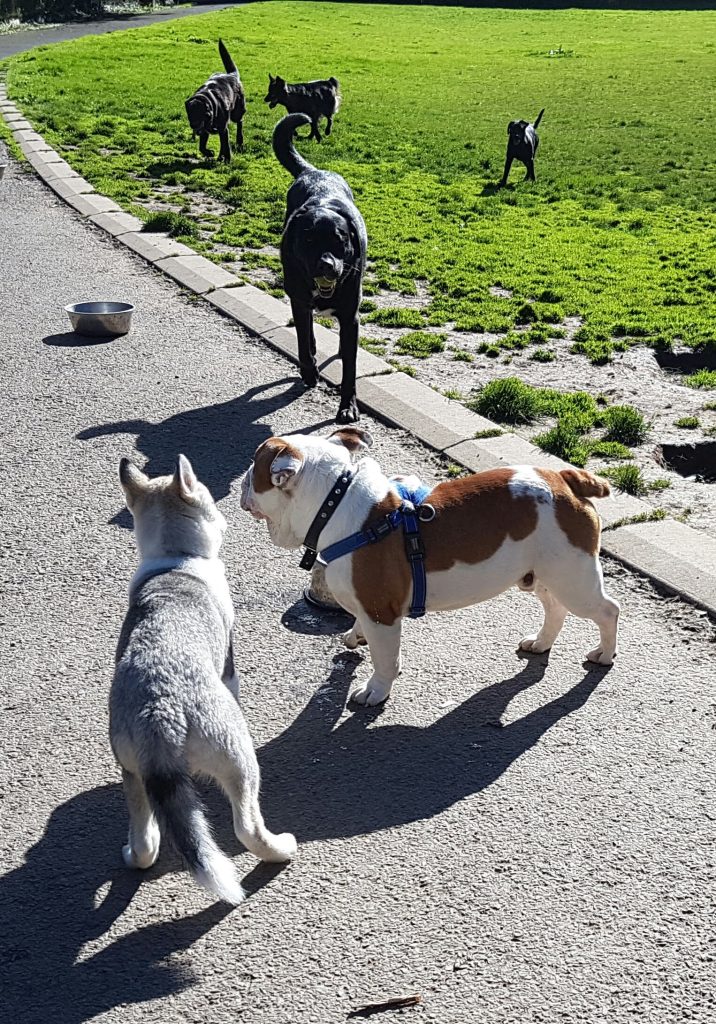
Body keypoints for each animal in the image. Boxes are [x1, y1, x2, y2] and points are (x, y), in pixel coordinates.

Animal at [110, 456, 295, 905]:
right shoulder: (229, 662)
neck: (176, 558)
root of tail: (161, 711)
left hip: (133, 771)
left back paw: (135, 852)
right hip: (239, 758)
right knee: (247, 827)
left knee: (145, 842)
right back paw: (281, 849)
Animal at [272, 115, 366, 423]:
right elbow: (303, 341)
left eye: (340, 240)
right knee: (308, 333)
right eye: (309, 240)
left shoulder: (350, 316)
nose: (327, 266)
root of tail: (314, 171)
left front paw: (348, 406)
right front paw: (309, 372)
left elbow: (350, 369)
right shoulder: (299, 301)